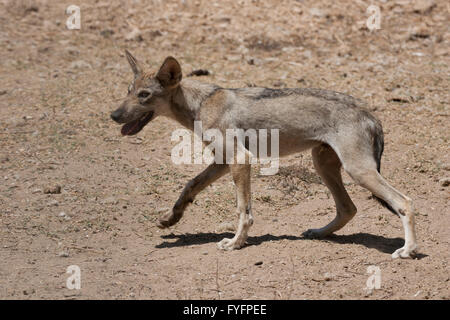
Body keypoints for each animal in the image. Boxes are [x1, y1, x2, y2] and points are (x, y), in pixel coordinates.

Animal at [110, 50, 418, 260]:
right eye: (128, 91)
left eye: (144, 95)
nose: (113, 115)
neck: (200, 104)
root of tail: (370, 113)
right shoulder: (222, 162)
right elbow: (189, 187)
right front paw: (169, 218)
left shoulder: (240, 160)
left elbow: (243, 211)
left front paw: (235, 243)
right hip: (325, 166)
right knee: (348, 208)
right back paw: (318, 234)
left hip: (358, 171)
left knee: (404, 201)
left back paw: (408, 250)